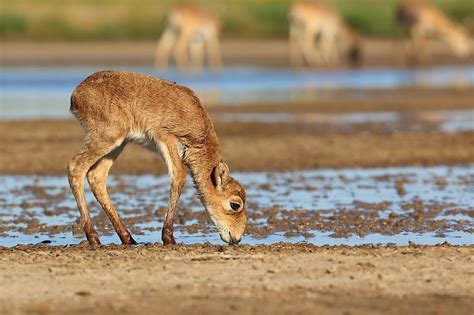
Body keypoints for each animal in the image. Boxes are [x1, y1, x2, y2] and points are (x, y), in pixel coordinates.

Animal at [68, 70, 246, 246]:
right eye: (235, 204)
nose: (237, 238)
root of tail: (76, 94)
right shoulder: (167, 138)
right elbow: (179, 177)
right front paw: (168, 238)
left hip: (118, 144)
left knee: (96, 176)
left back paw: (128, 238)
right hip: (108, 137)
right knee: (75, 168)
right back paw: (93, 238)